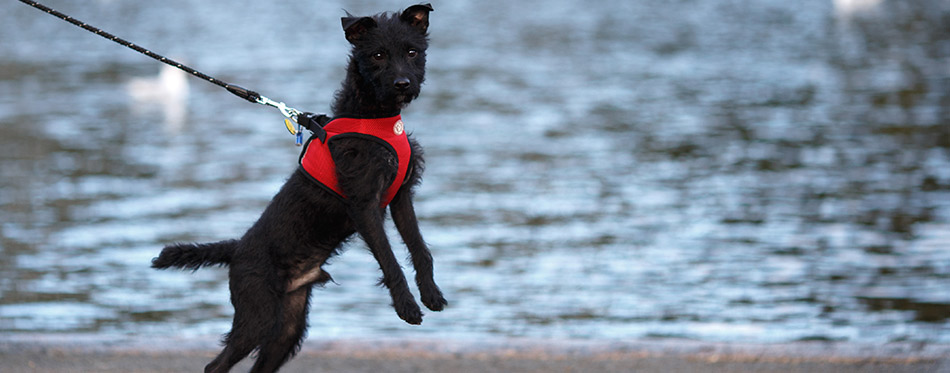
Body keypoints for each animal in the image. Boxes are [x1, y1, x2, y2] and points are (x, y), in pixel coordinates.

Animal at [152, 4, 446, 370]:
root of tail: (236, 248)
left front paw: (431, 293)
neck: (374, 118)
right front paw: (407, 306)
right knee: (216, 364)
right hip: (257, 313)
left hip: (287, 327)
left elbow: (420, 248)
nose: (403, 84)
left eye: (412, 52)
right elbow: (390, 259)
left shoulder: (401, 197)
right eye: (378, 55)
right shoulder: (363, 204)